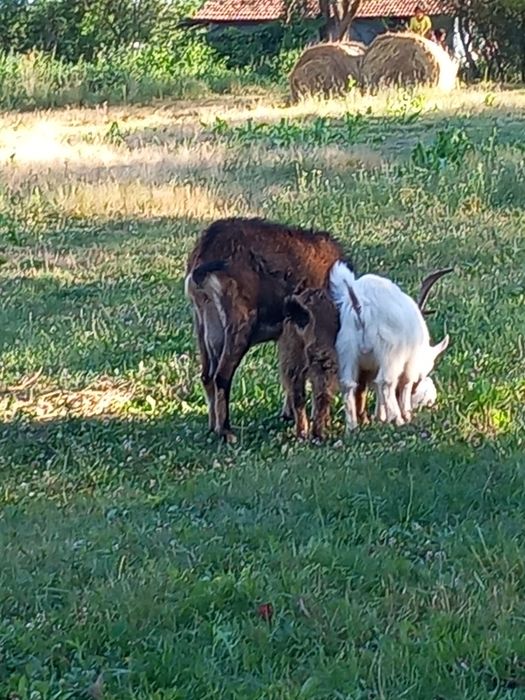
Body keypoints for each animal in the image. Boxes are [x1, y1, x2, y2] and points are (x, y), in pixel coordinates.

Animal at [185, 217, 345, 442]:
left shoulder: (289, 337)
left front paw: (288, 414)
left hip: (204, 323)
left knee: (207, 376)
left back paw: (213, 426)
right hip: (239, 323)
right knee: (221, 376)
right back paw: (226, 431)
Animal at [329, 262, 452, 431]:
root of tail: (360, 308)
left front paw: (380, 416)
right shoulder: (410, 362)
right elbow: (405, 383)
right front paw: (405, 415)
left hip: (347, 349)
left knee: (348, 384)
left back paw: (352, 426)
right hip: (390, 352)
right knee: (385, 382)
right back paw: (398, 419)